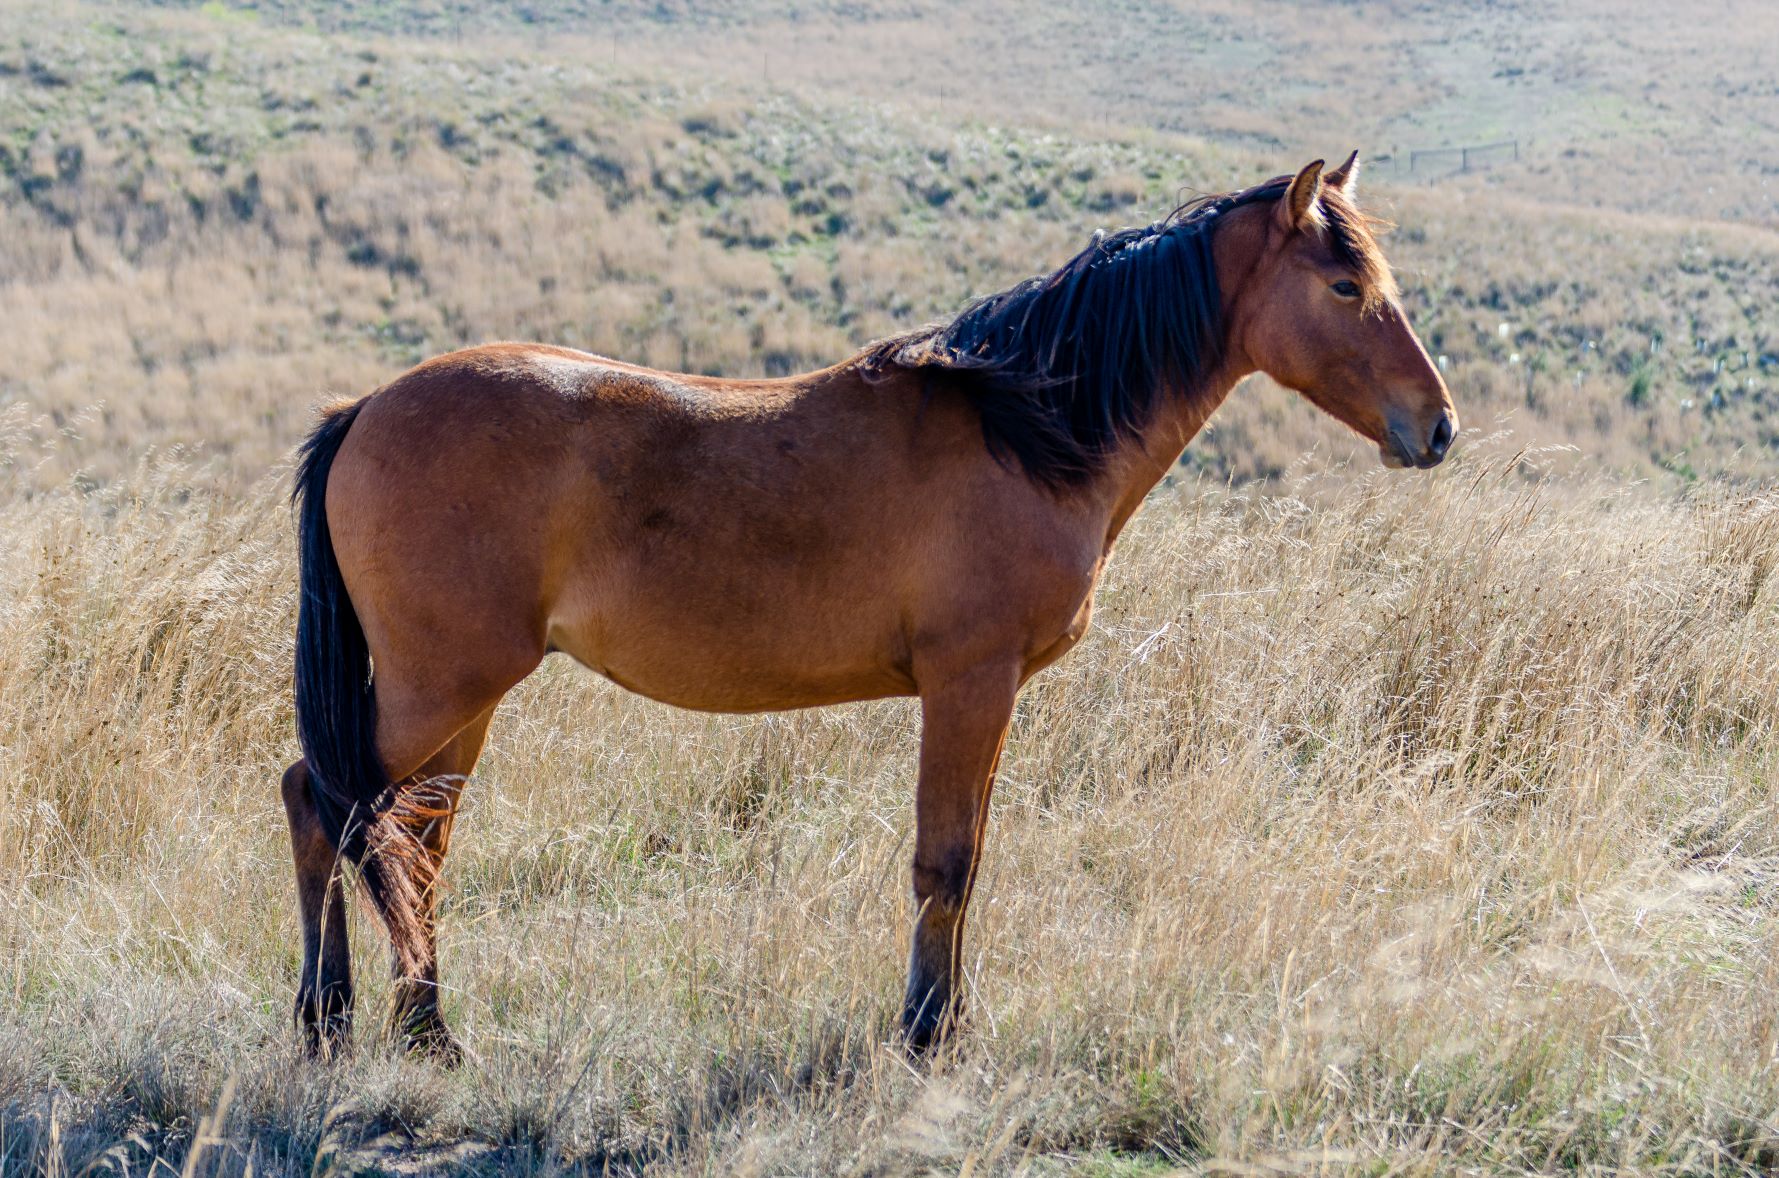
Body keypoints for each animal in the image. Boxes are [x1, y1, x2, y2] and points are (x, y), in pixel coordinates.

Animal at [281, 154, 1458, 1060]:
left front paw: (948, 1022)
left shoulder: (986, 693)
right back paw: (343, 1024)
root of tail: (365, 409)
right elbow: (946, 863)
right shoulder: (969, 682)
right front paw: (927, 1033)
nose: (1437, 426)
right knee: (329, 805)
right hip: (441, 687)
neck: (1025, 427)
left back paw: (409, 1029)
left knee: (406, 843)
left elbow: (966, 859)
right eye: (1344, 285)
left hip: (460, 702)